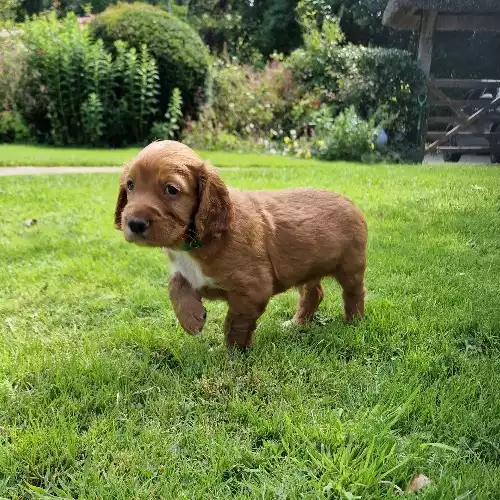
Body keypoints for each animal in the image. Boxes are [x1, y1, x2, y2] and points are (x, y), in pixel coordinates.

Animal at [116, 141, 368, 350]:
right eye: (130, 185)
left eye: (171, 189)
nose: (134, 223)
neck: (197, 243)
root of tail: (350, 202)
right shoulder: (188, 272)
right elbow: (174, 282)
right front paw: (191, 319)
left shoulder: (253, 289)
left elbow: (235, 323)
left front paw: (234, 353)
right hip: (307, 267)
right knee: (314, 292)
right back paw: (297, 323)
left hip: (351, 267)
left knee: (354, 293)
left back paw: (353, 322)